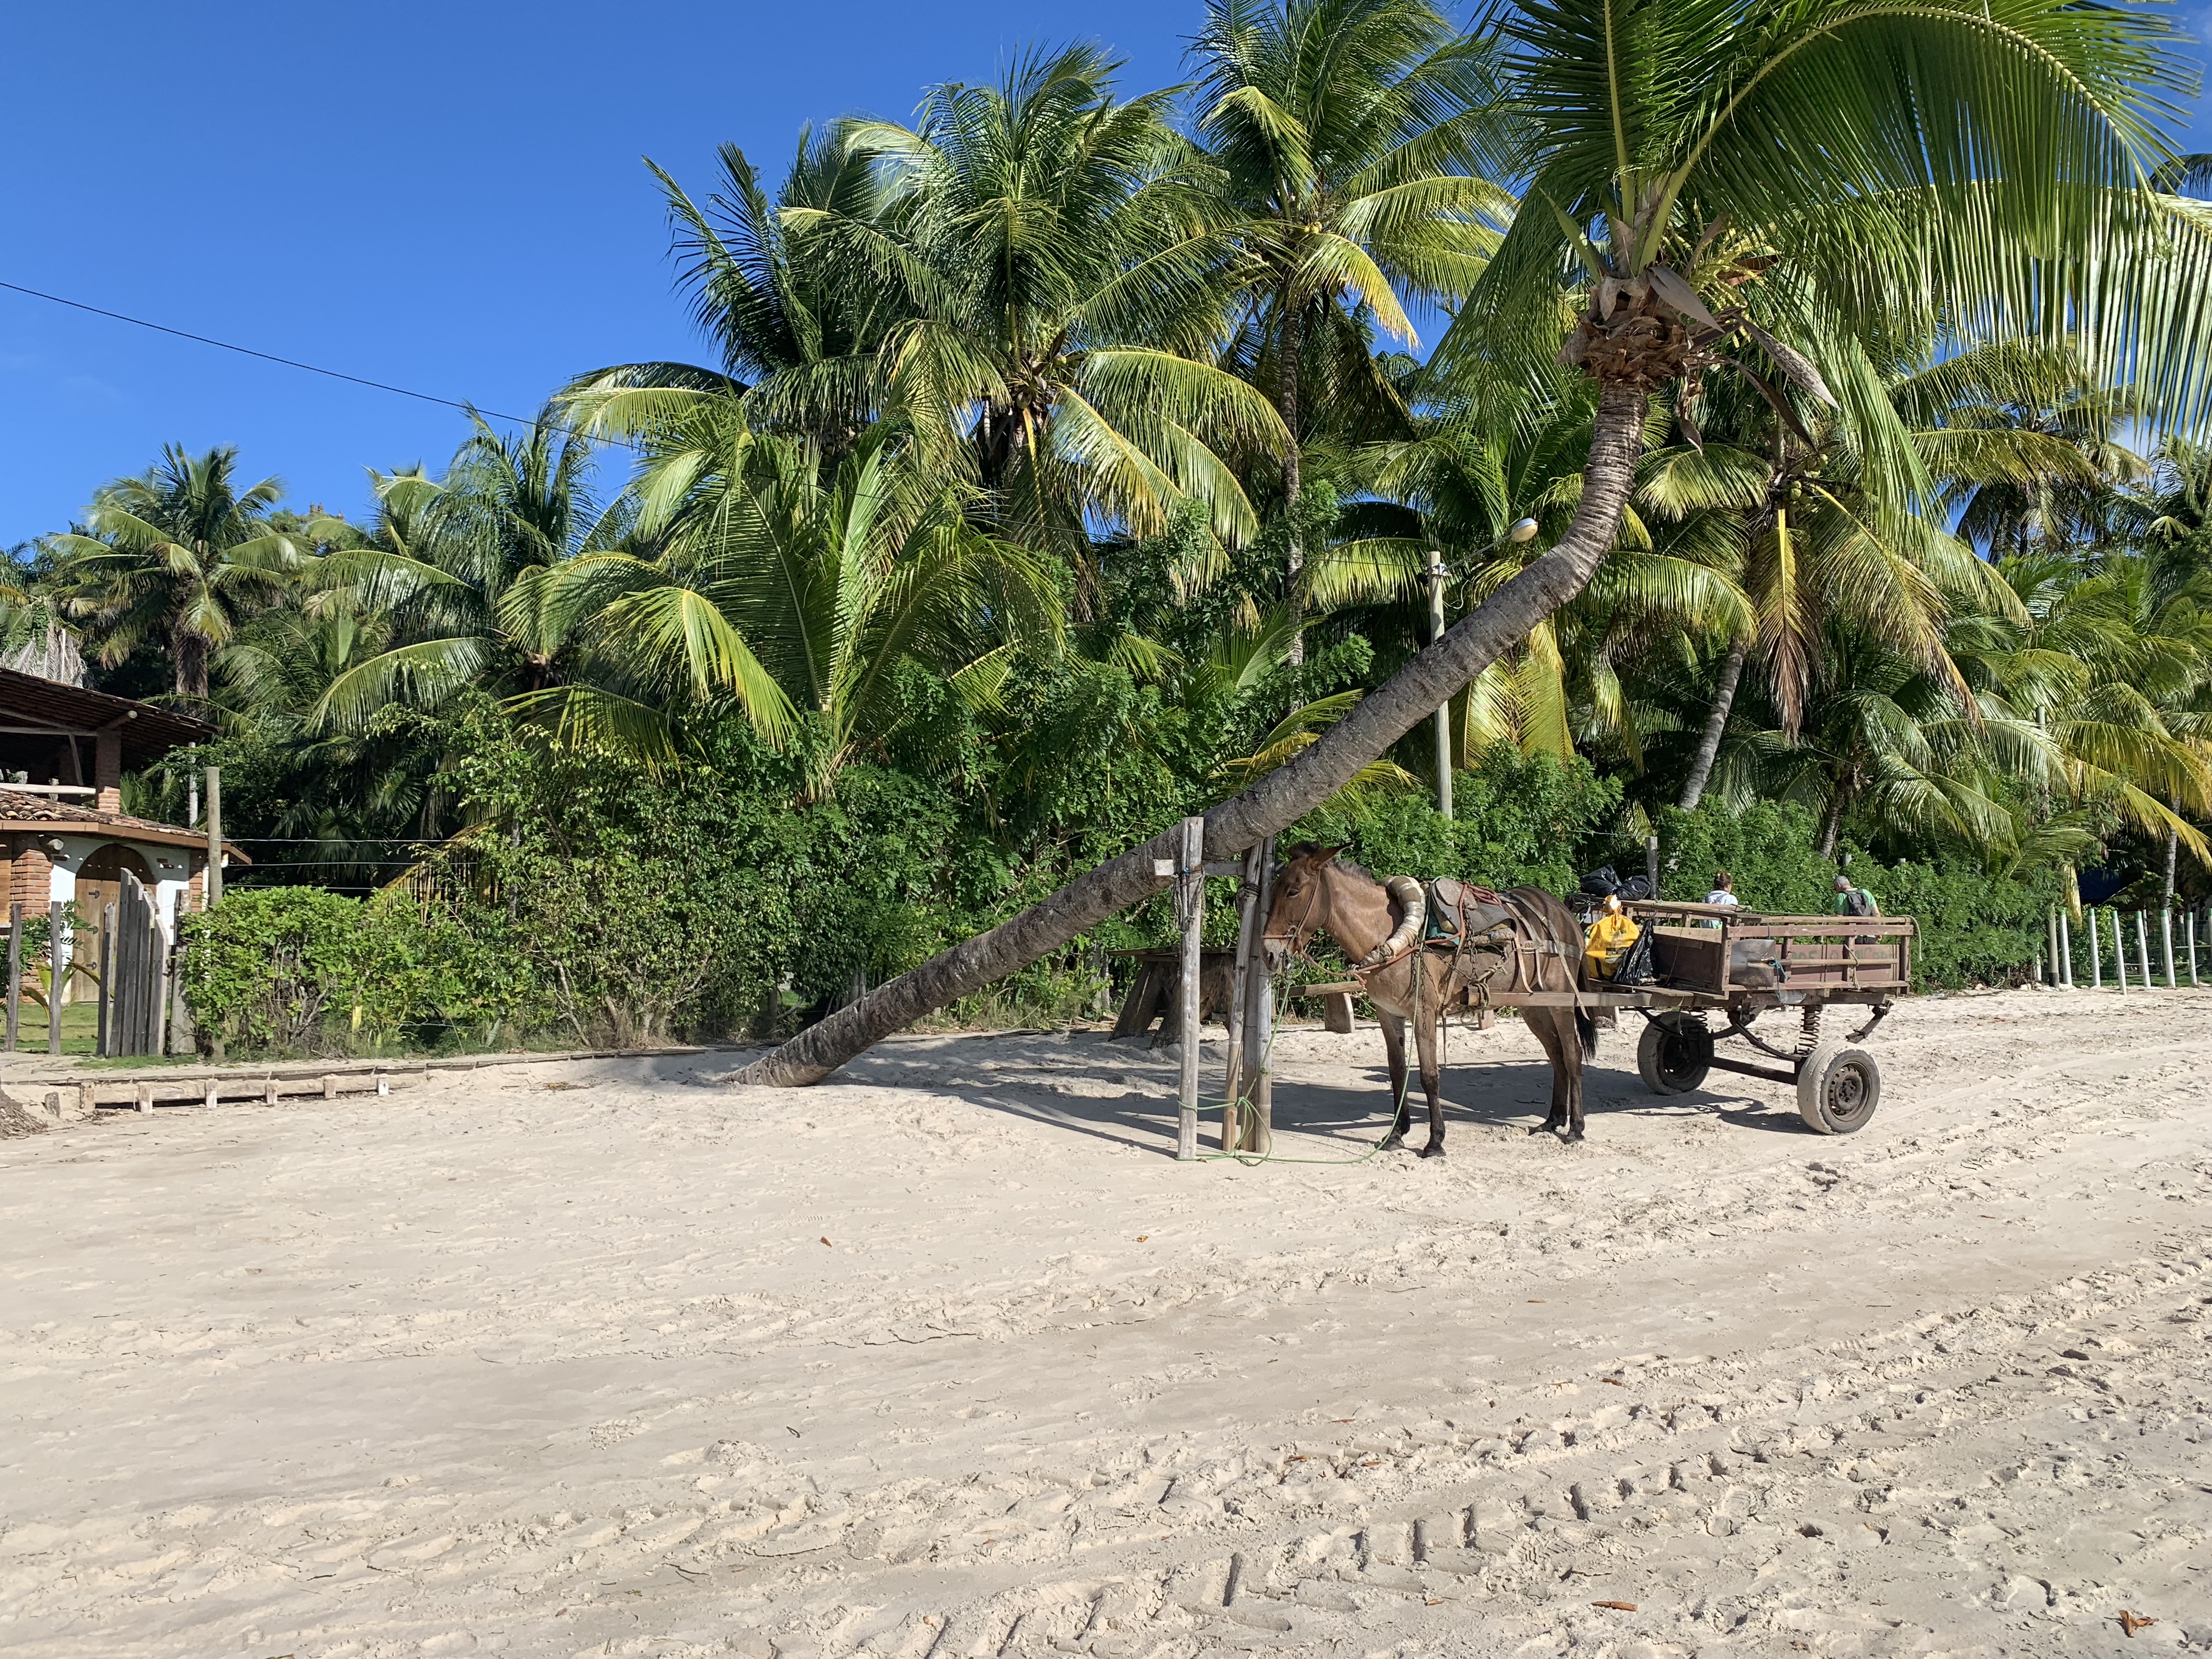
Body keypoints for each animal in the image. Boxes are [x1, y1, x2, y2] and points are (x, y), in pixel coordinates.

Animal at [1261, 844, 1600, 1149]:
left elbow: (1429, 1075)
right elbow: (1398, 1072)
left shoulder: (1424, 1012)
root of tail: (1564, 913)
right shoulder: (1388, 1013)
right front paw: (1396, 1136)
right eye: (1274, 889)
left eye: (1293, 891)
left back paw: (1576, 1129)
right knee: (1556, 1056)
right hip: (1534, 1006)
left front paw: (1435, 1141)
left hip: (1560, 1001)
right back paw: (1552, 1121)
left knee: (1572, 1055)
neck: (1389, 934)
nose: (1269, 953)